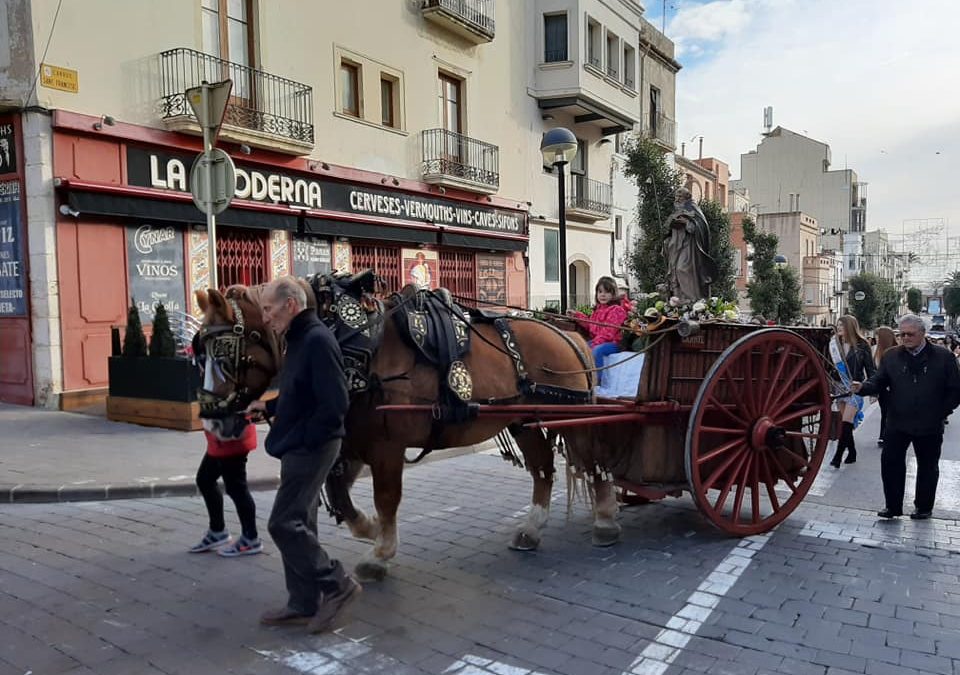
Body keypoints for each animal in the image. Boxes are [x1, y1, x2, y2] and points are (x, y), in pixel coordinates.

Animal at [195, 280, 624, 580]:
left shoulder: (386, 447)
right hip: (526, 421)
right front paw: (369, 529)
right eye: (199, 353)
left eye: (225, 354)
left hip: (571, 414)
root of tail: (565, 329)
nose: (213, 419)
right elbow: (339, 492)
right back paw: (532, 529)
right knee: (543, 470)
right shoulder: (352, 443)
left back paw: (605, 520)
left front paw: (380, 553)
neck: (352, 346)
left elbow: (386, 498)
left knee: (593, 463)